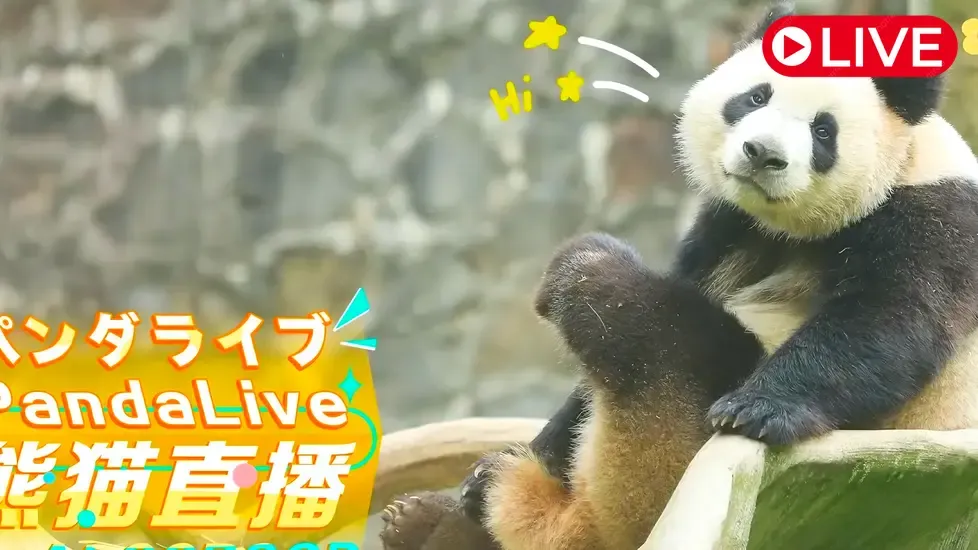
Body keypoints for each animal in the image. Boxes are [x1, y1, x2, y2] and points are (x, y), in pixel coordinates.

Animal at [378, 3, 978, 549]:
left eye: (822, 130)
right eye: (757, 96)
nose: (761, 153)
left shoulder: (936, 218)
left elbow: (890, 320)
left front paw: (759, 408)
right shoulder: (730, 225)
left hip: (671, 451)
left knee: (657, 335)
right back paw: (441, 511)